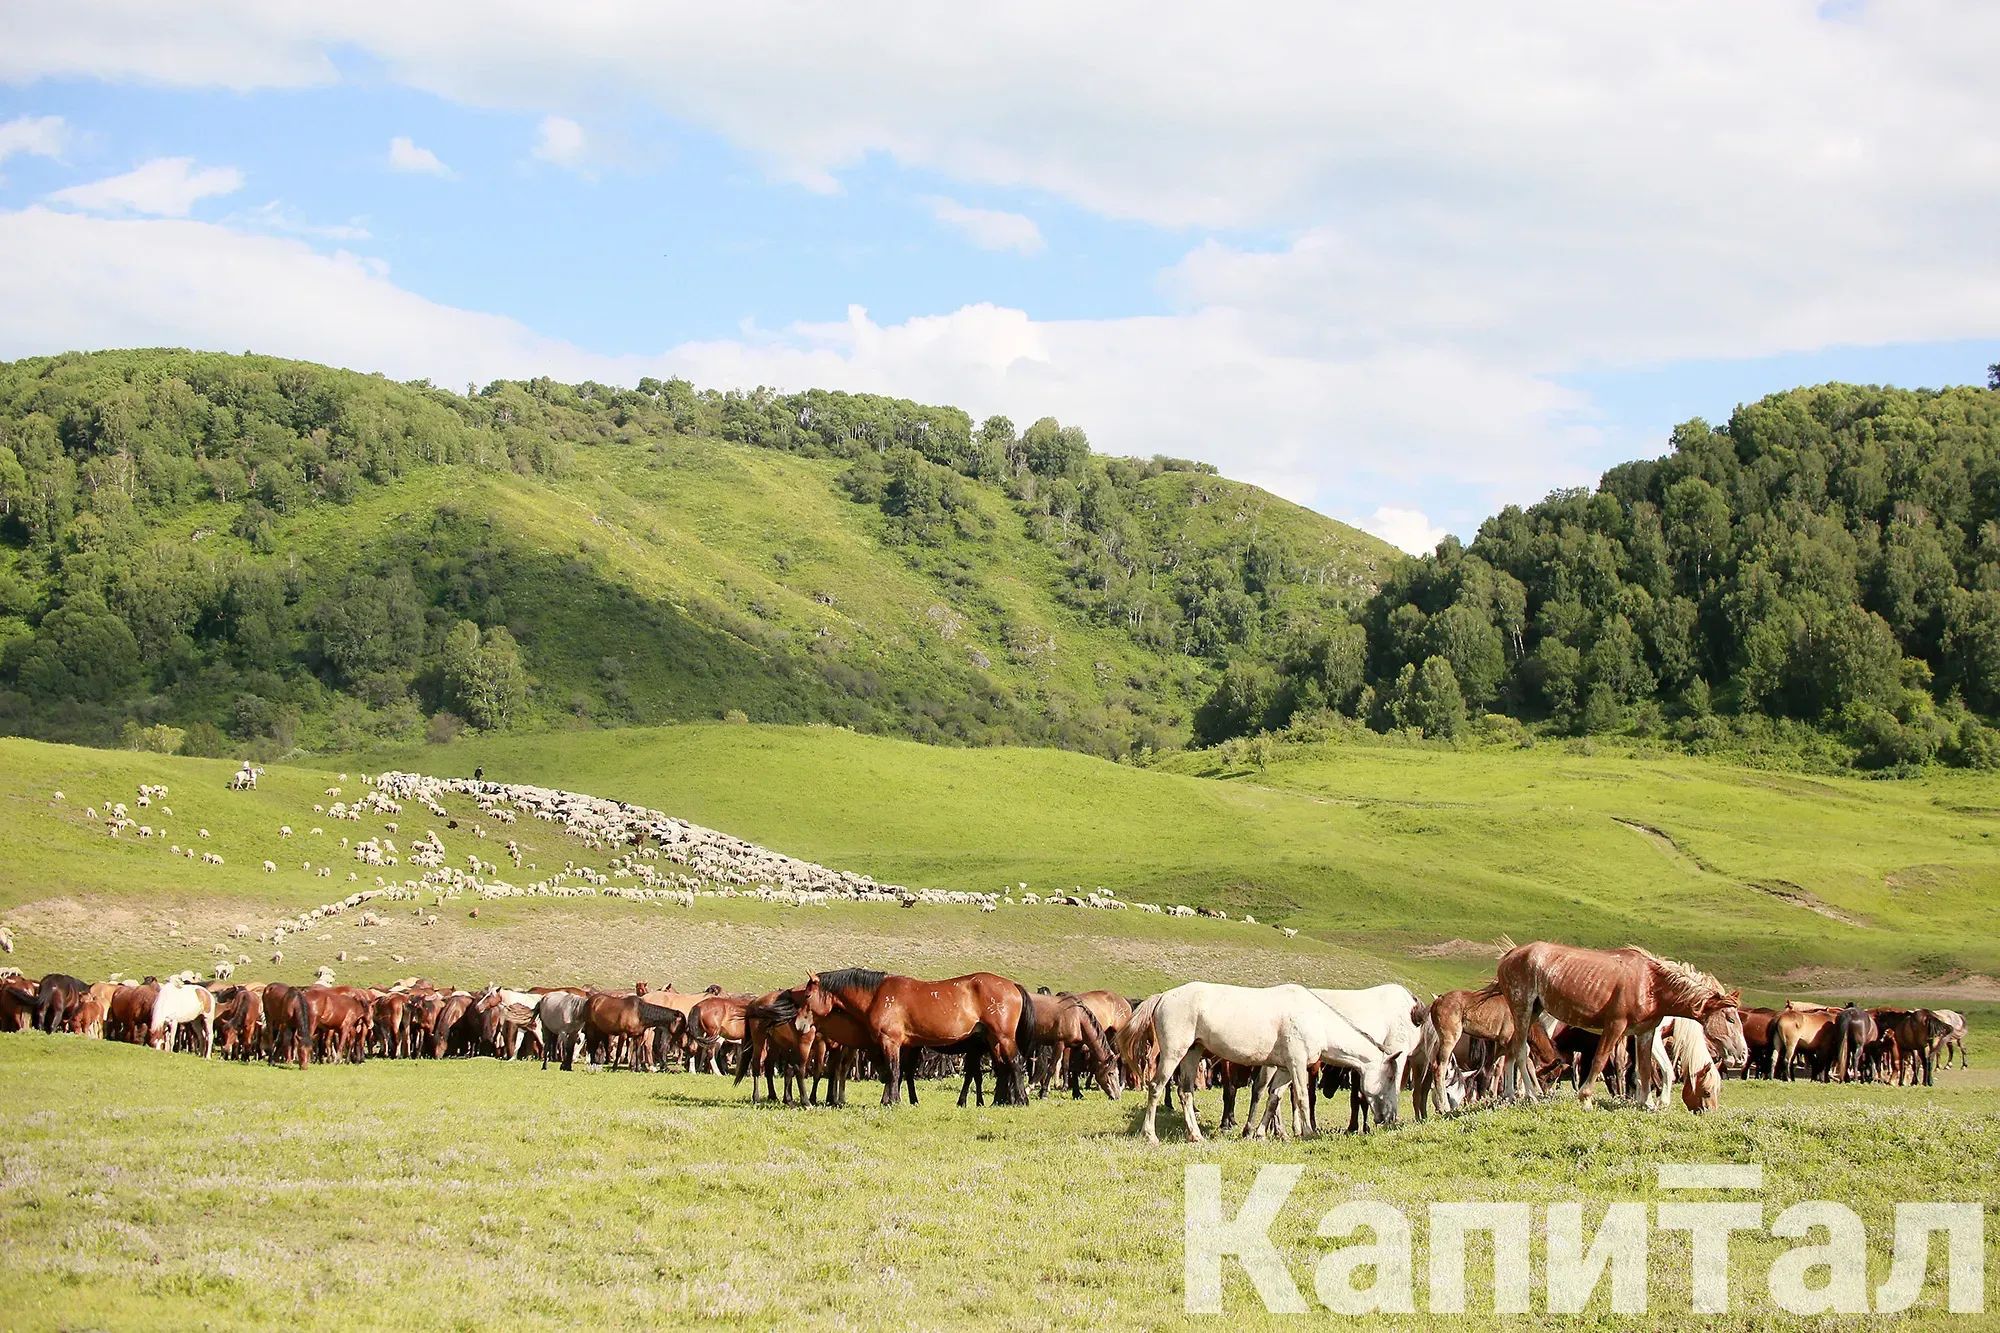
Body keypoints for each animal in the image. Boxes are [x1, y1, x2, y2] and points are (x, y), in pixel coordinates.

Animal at [800, 964, 1040, 1096]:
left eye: (807, 995)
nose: (800, 1024)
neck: (878, 994)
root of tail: (1012, 985)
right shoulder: (904, 1045)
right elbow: (897, 1073)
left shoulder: (890, 1041)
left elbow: (893, 1071)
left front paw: (892, 1101)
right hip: (993, 1040)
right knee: (1003, 1067)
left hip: (1004, 1037)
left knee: (1015, 1064)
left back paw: (1021, 1099)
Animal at [1144, 976, 1392, 1144]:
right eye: (1390, 1078)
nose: (1387, 1118)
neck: (1316, 1019)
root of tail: (1164, 996)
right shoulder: (1297, 1063)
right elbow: (1302, 1097)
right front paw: (1308, 1133)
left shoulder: (1284, 1068)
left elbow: (1273, 1098)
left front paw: (1261, 1134)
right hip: (1173, 1053)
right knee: (1156, 1087)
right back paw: (1150, 1135)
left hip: (1192, 1053)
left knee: (1185, 1092)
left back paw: (1196, 1136)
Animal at [1504, 932, 1736, 1096]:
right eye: (1730, 1018)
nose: (1739, 1056)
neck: (1651, 984)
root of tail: (1509, 955)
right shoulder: (1615, 1026)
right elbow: (1601, 1061)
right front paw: (1586, 1098)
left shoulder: (1645, 1032)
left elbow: (1644, 1069)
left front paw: (1646, 1102)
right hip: (1523, 1009)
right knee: (1522, 1051)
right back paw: (1531, 1095)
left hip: (1533, 1012)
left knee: (1512, 1049)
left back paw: (1510, 1095)